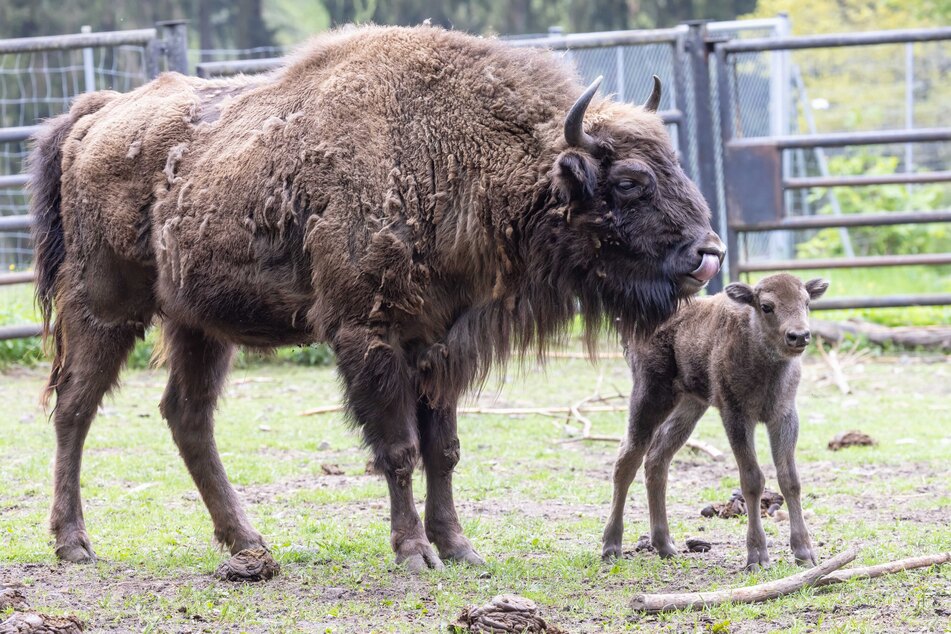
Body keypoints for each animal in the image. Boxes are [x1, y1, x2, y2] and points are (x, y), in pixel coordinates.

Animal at [31, 24, 720, 572]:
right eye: (629, 181)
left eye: (674, 160)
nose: (707, 254)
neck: (458, 151)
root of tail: (97, 116)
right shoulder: (370, 338)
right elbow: (398, 450)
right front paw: (415, 553)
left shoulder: (438, 346)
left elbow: (444, 451)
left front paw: (461, 549)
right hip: (106, 308)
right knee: (74, 409)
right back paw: (74, 544)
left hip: (199, 327)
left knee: (187, 417)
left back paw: (247, 542)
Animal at [608, 272, 828, 568]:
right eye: (766, 306)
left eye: (806, 302)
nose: (799, 336)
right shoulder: (735, 416)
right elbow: (752, 480)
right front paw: (757, 556)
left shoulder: (783, 416)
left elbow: (790, 480)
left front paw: (805, 553)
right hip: (650, 396)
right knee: (627, 459)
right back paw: (611, 547)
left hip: (690, 406)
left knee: (657, 459)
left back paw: (665, 545)